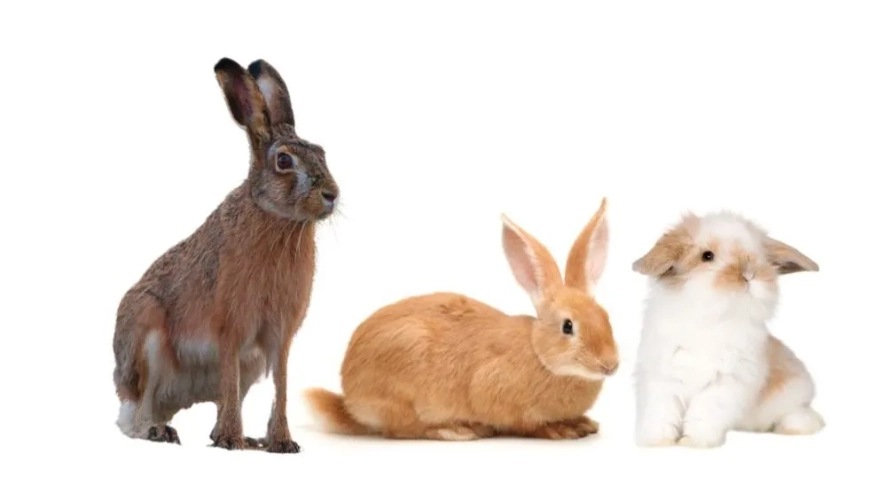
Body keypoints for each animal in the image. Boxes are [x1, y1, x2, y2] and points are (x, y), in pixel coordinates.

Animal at [112, 57, 339, 453]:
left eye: (322, 153)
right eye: (283, 161)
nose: (332, 194)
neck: (275, 217)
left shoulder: (278, 337)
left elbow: (280, 385)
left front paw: (281, 442)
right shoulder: (230, 327)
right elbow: (231, 380)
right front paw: (233, 440)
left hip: (250, 364)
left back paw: (243, 438)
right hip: (145, 338)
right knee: (135, 415)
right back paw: (162, 431)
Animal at [304, 198, 618, 440]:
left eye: (605, 317)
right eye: (568, 326)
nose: (610, 365)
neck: (540, 356)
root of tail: (351, 402)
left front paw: (583, 423)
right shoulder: (495, 393)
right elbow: (526, 424)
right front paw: (560, 430)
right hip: (404, 389)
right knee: (403, 430)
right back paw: (457, 430)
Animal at [630, 210, 824, 448]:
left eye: (760, 257)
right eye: (707, 256)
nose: (749, 274)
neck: (712, 319)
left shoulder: (725, 384)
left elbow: (703, 414)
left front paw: (693, 442)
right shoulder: (663, 378)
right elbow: (661, 413)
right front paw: (658, 442)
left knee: (804, 415)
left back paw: (795, 426)